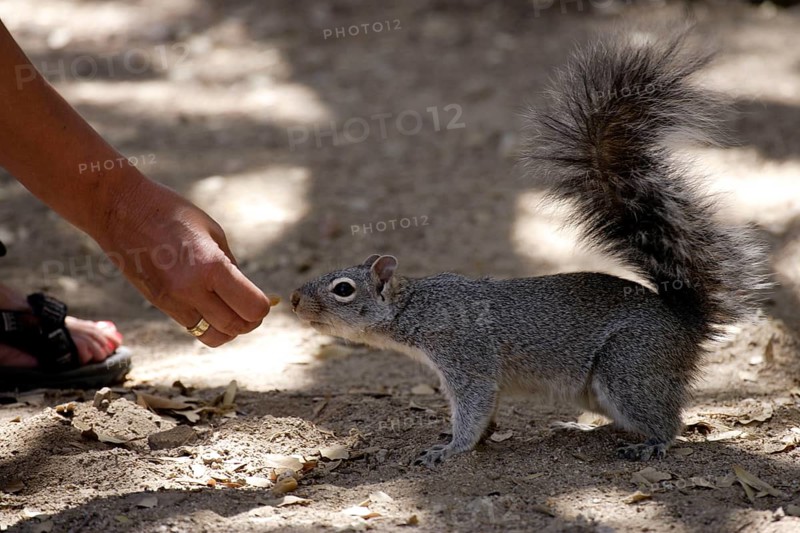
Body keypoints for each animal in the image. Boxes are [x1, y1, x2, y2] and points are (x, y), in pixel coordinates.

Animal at [290, 30, 766, 467]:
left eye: (343, 289)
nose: (293, 299)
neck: (415, 306)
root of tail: (686, 323)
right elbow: (486, 412)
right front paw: (474, 439)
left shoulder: (466, 356)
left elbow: (474, 406)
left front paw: (450, 449)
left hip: (630, 365)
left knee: (668, 420)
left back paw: (652, 443)